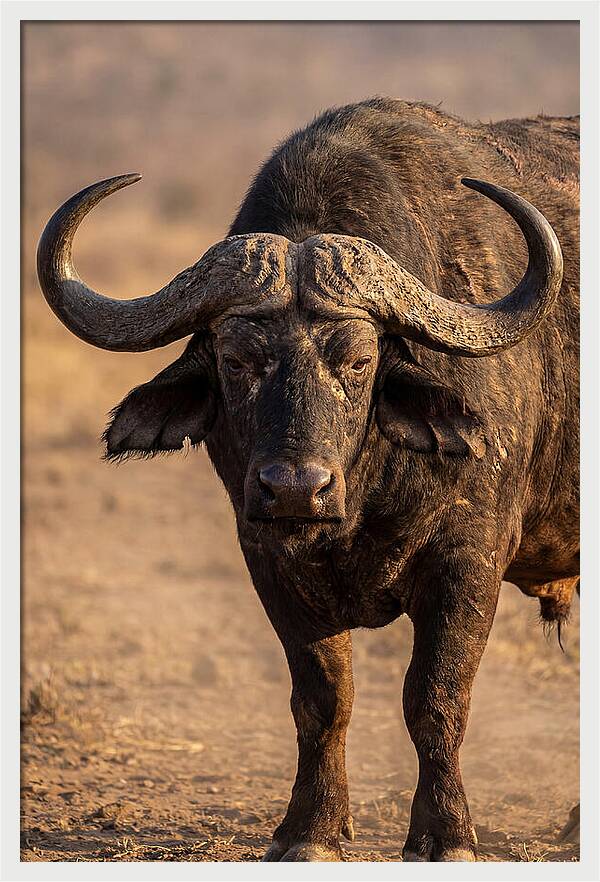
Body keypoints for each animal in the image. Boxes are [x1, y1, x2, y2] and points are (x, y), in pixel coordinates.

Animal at [37, 98, 579, 861]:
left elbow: (436, 697)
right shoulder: (267, 559)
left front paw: (445, 835)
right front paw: (312, 830)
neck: (361, 498)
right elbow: (323, 701)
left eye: (358, 360)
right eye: (236, 359)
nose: (295, 487)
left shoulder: (468, 560)